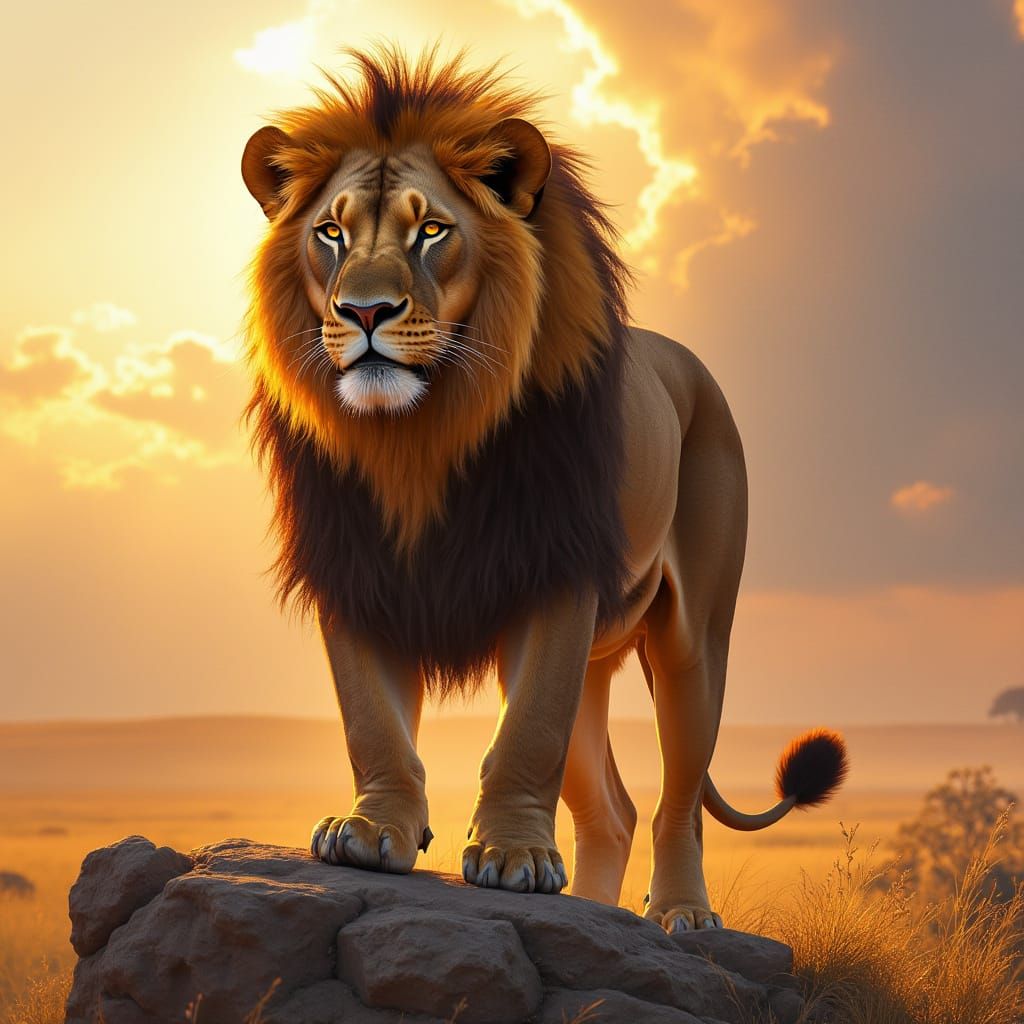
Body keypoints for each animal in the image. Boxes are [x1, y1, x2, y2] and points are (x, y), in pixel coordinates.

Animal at [241, 46, 848, 933]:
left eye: (432, 231)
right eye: (331, 232)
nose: (364, 311)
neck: (417, 436)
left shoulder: (556, 570)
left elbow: (527, 732)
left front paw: (515, 858)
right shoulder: (353, 570)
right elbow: (372, 721)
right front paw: (371, 830)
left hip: (695, 636)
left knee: (675, 801)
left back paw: (682, 913)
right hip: (596, 662)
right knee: (612, 810)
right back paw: (597, 910)